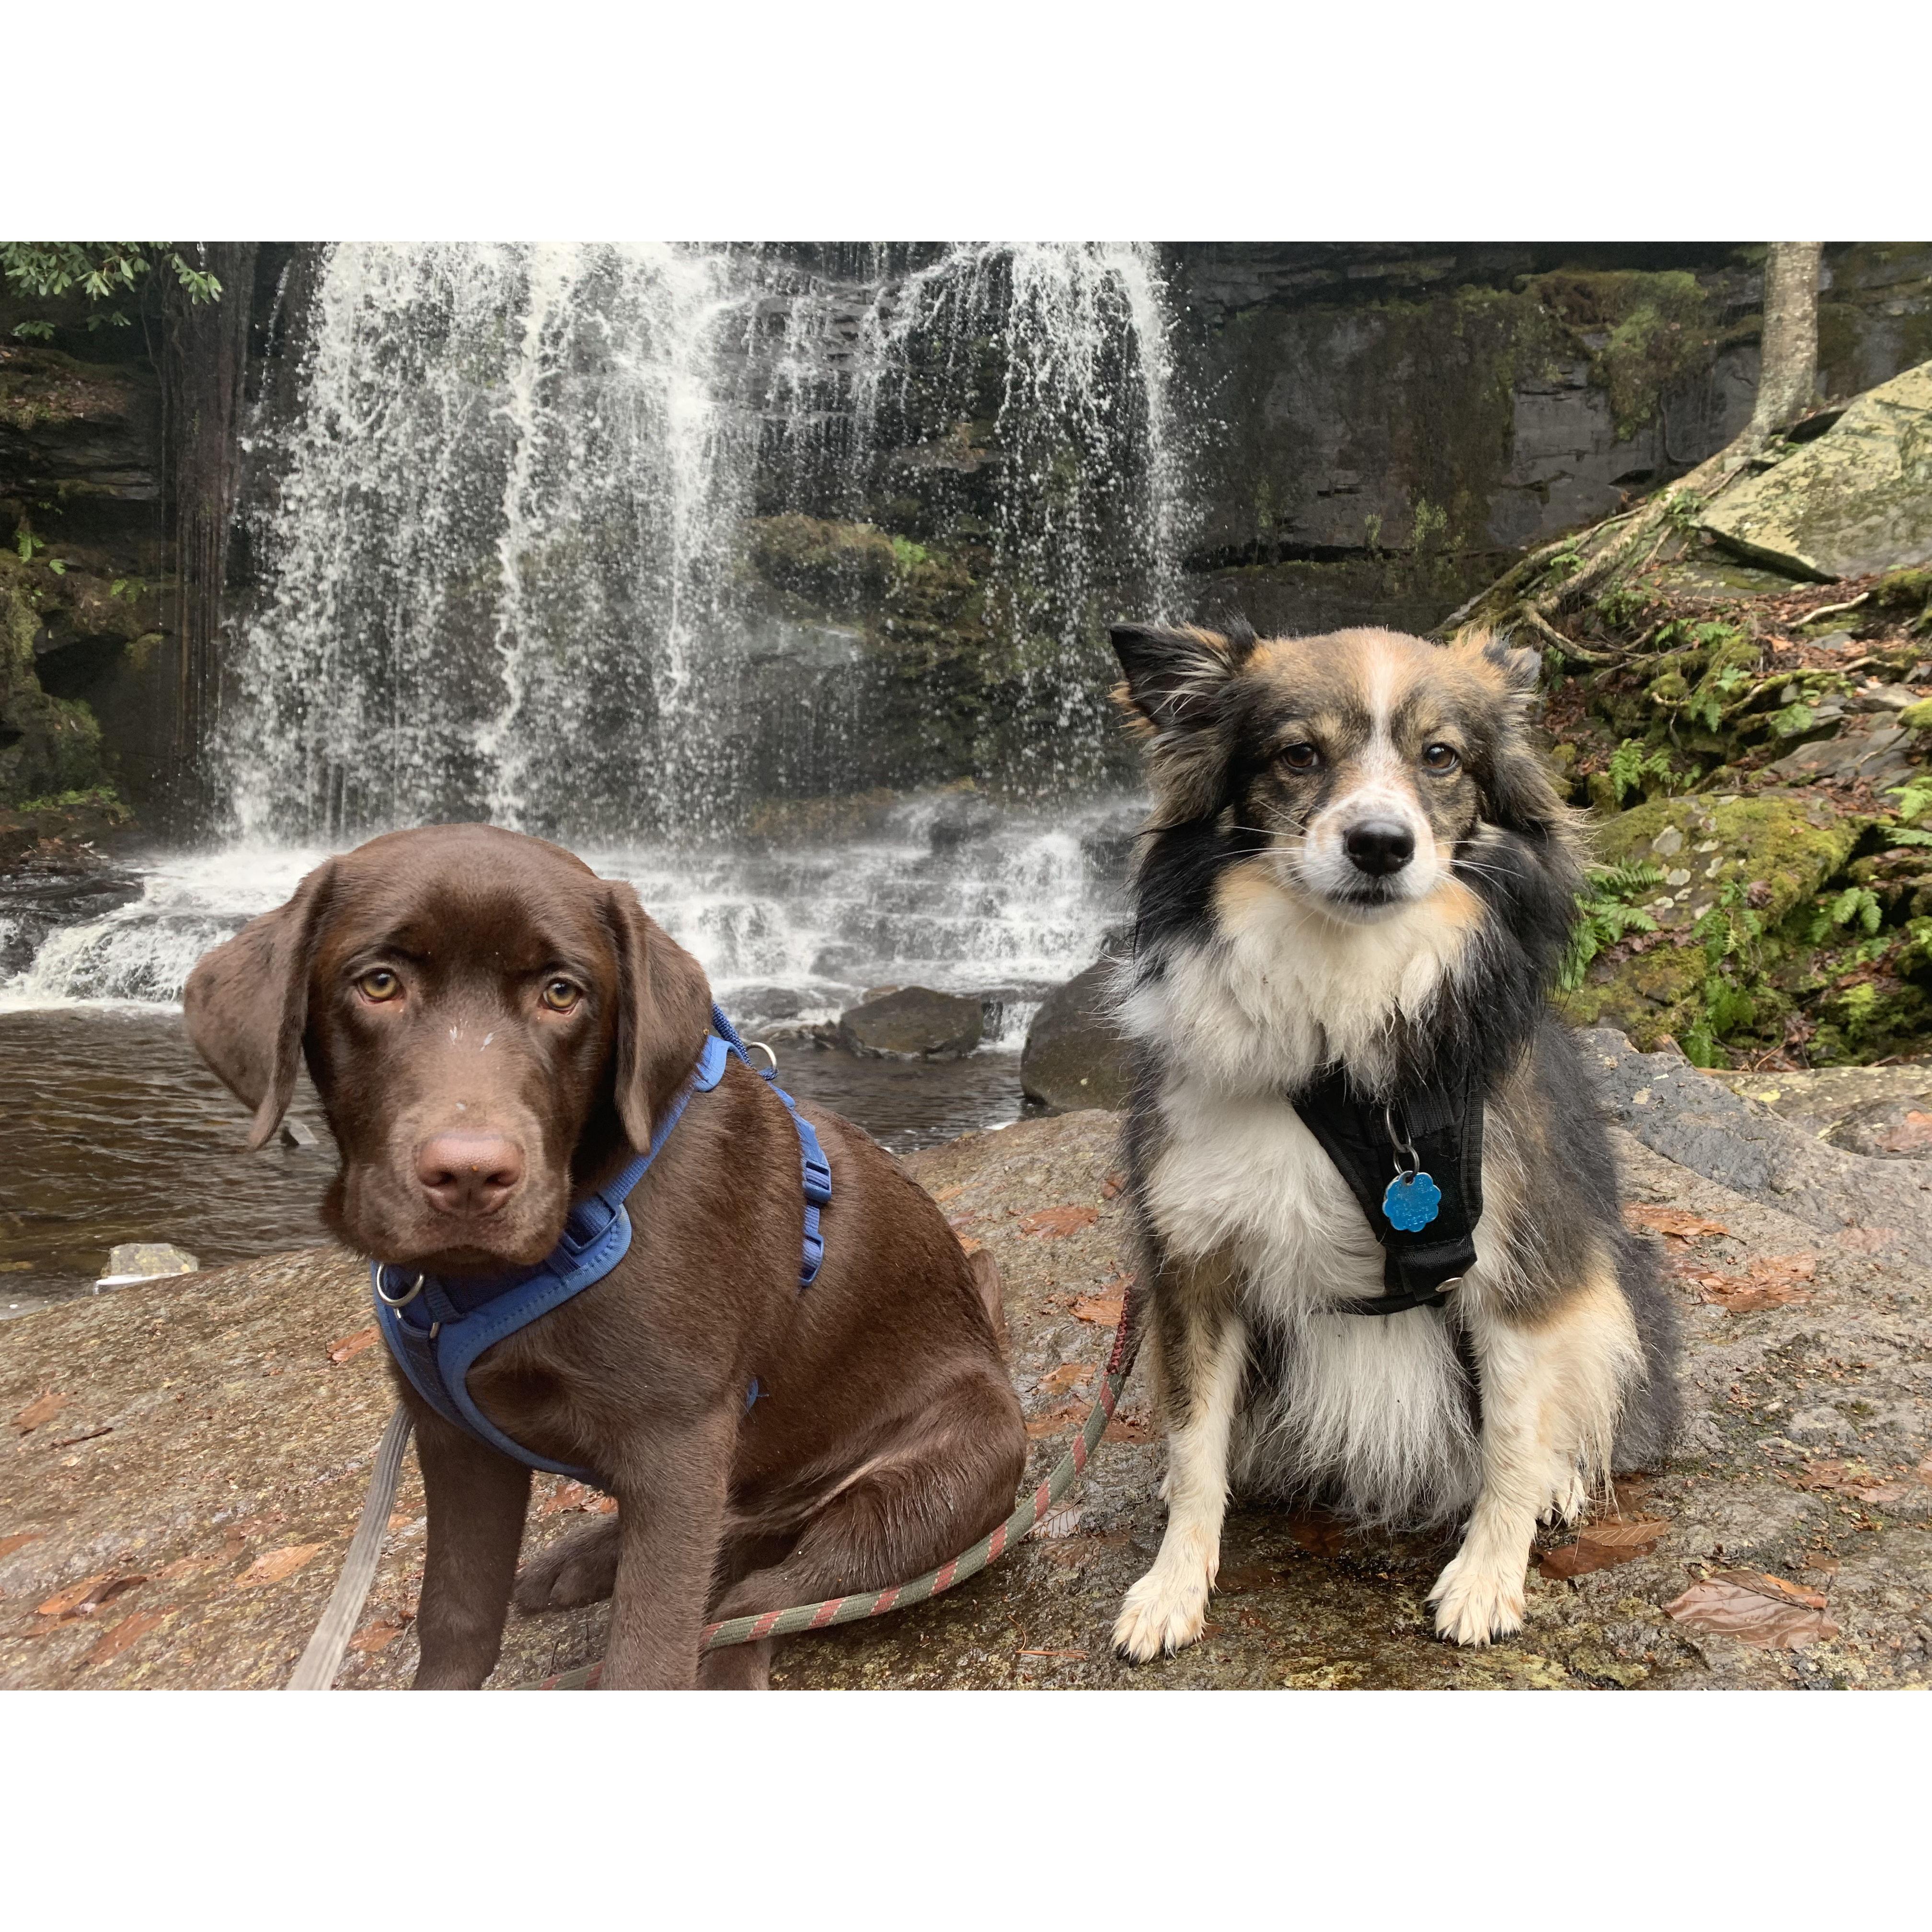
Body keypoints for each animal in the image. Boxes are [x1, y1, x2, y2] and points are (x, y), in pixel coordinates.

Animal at [183, 824, 1025, 1689]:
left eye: (563, 994)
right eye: (378, 983)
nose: (470, 1176)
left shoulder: (678, 1440)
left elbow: (650, 1651)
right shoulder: (455, 1439)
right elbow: (455, 1619)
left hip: (923, 1491)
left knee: (761, 1596)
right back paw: (587, 1559)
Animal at [1104, 619, 1677, 1656]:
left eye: (1439, 756)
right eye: (1298, 755)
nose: (1380, 845)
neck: (1346, 1001)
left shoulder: (1519, 1260)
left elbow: (1511, 1442)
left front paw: (1488, 1577)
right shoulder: (1191, 1260)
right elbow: (1195, 1436)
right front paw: (1172, 1583)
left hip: (1609, 1284)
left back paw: (1563, 1485)